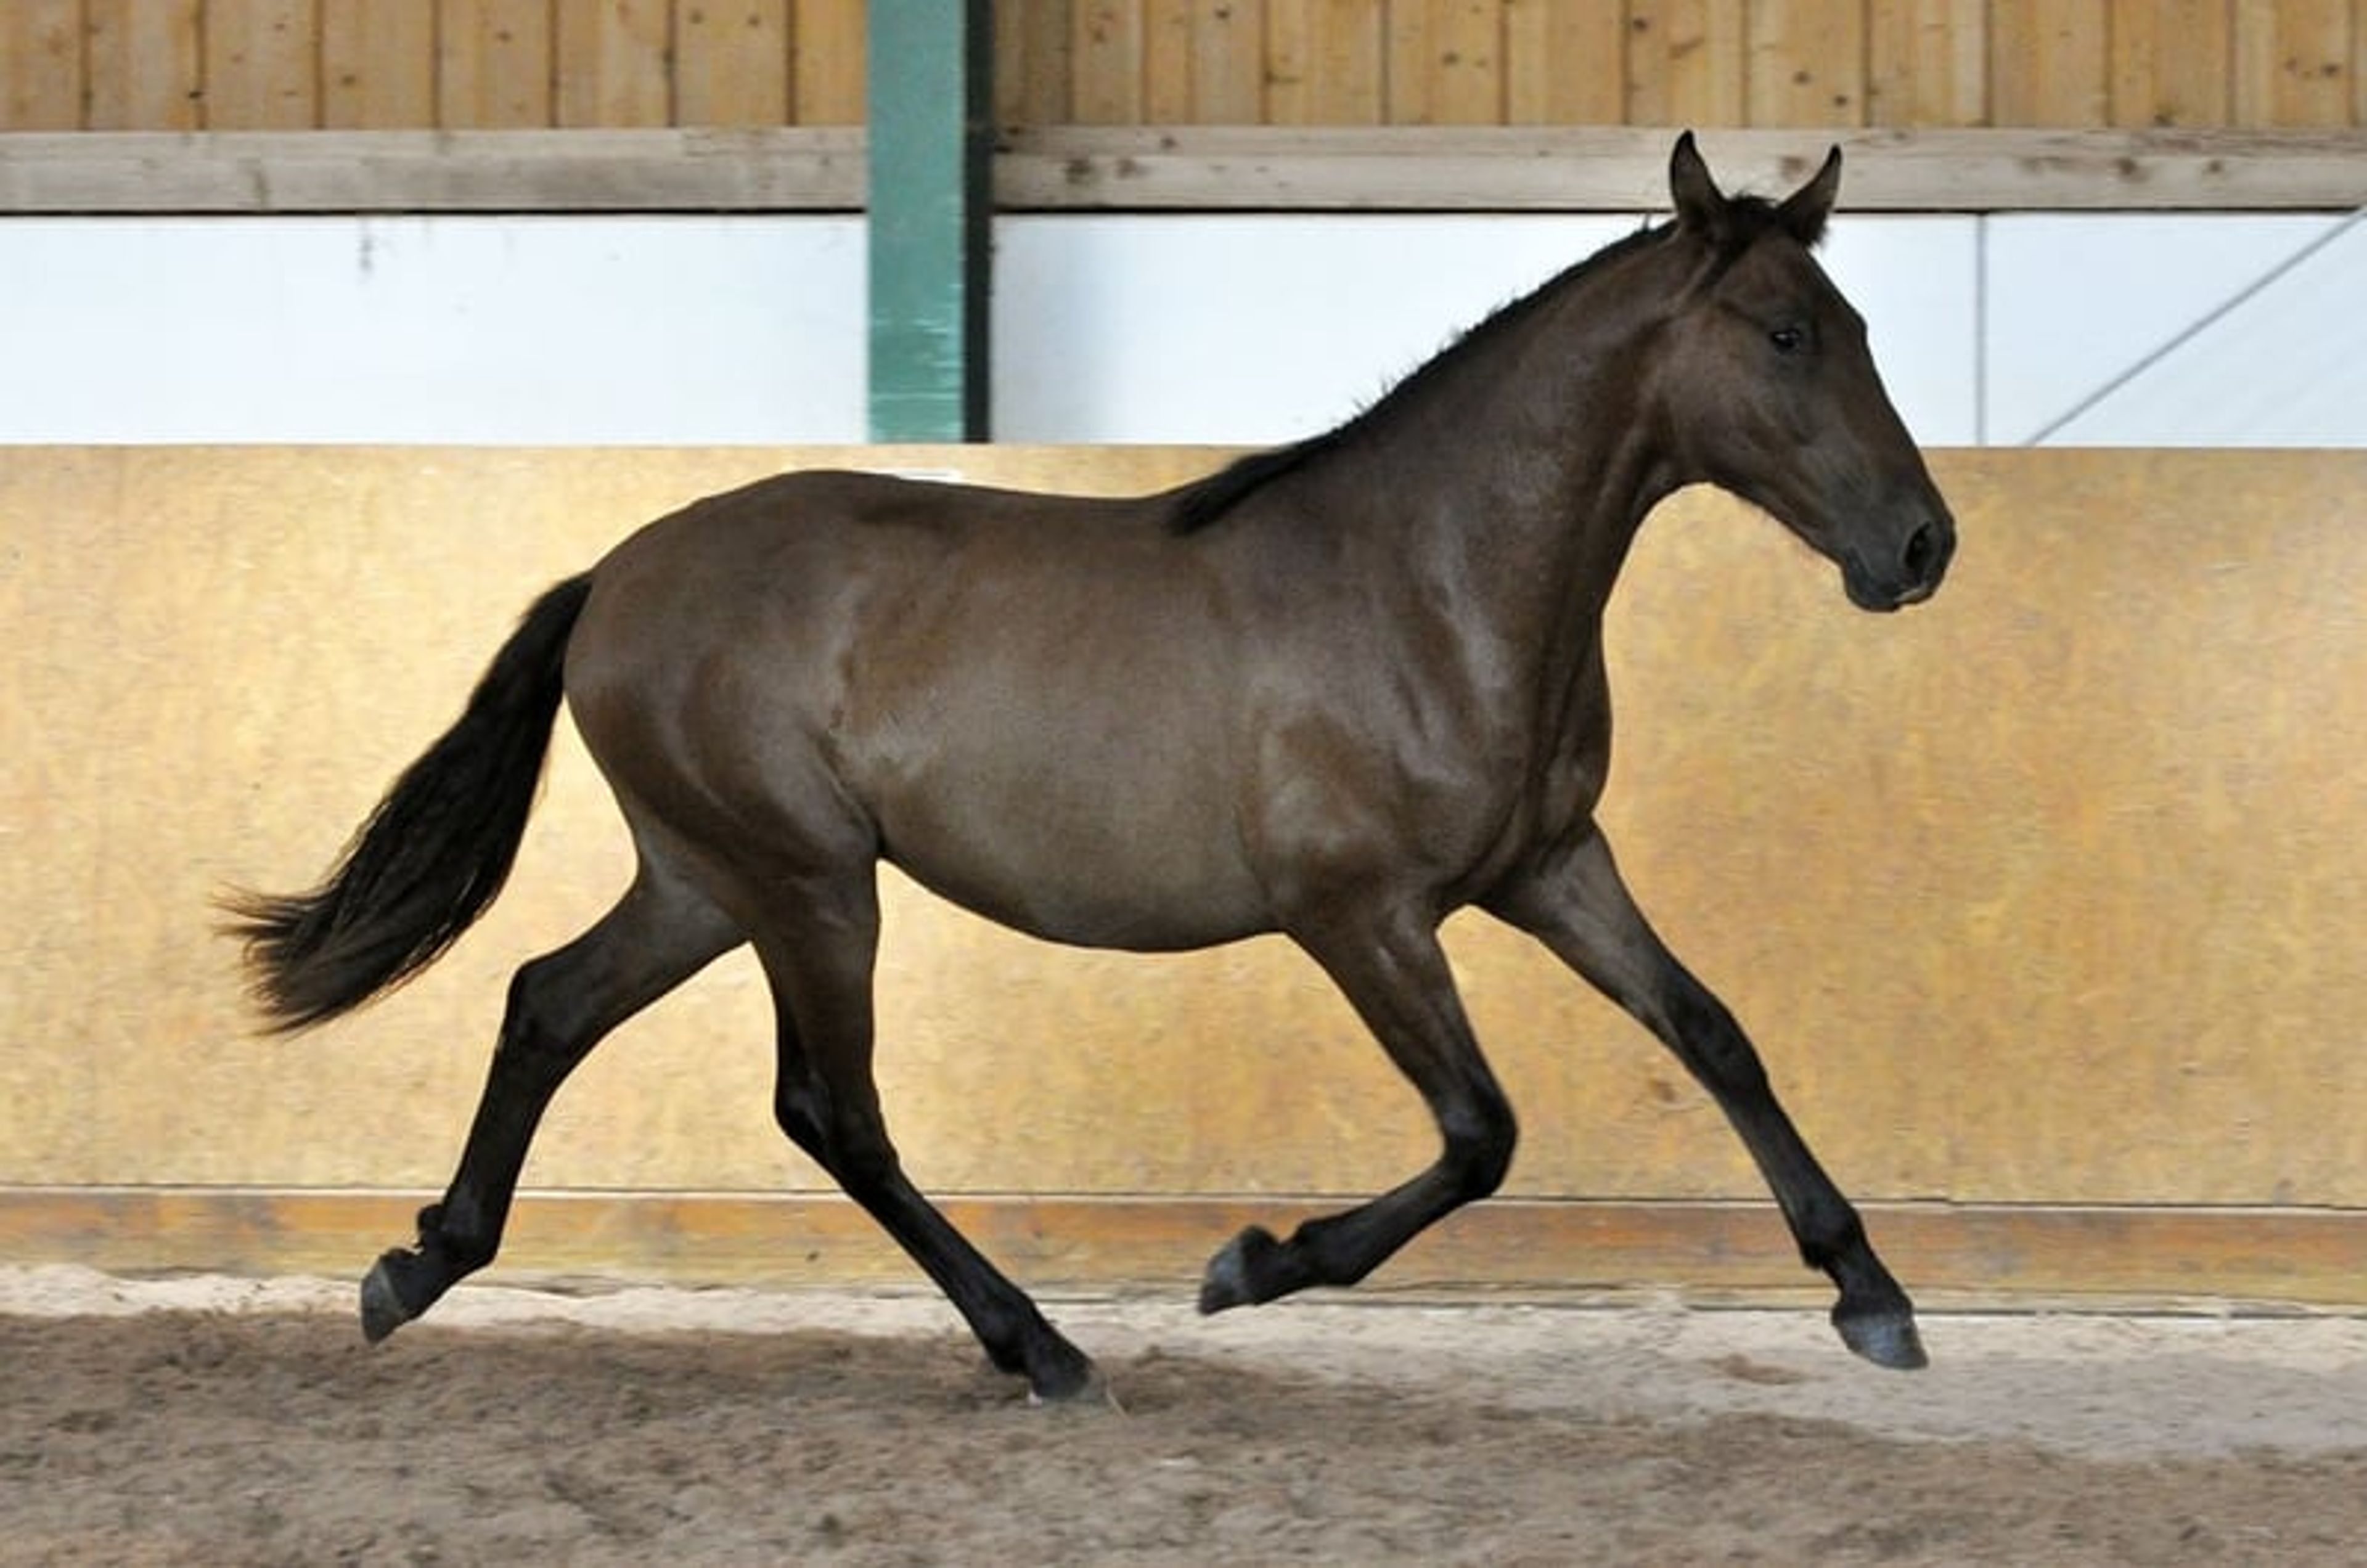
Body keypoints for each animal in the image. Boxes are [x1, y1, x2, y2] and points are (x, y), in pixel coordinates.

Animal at [225, 133, 1955, 1402]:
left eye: (1865, 329)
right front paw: (1249, 1266)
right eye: (1787, 334)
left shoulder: (1548, 867)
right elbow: (1480, 1132)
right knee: (830, 1108)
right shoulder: (1360, 916)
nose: (1921, 546)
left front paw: (1871, 1297)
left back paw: (413, 1268)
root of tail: (615, 578)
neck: (1429, 581)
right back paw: (1041, 1346)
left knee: (549, 1004)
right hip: (808, 883)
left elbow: (1715, 1036)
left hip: (710, 881)